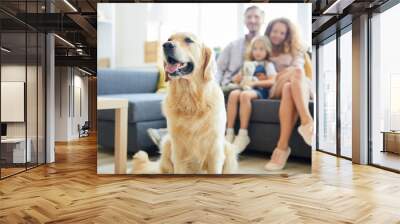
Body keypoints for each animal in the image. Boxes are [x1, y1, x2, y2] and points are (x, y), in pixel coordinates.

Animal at [131, 32, 238, 174]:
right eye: (169, 39)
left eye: (188, 40)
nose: (166, 45)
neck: (190, 99)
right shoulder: (178, 152)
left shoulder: (215, 151)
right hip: (167, 144)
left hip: (229, 150)